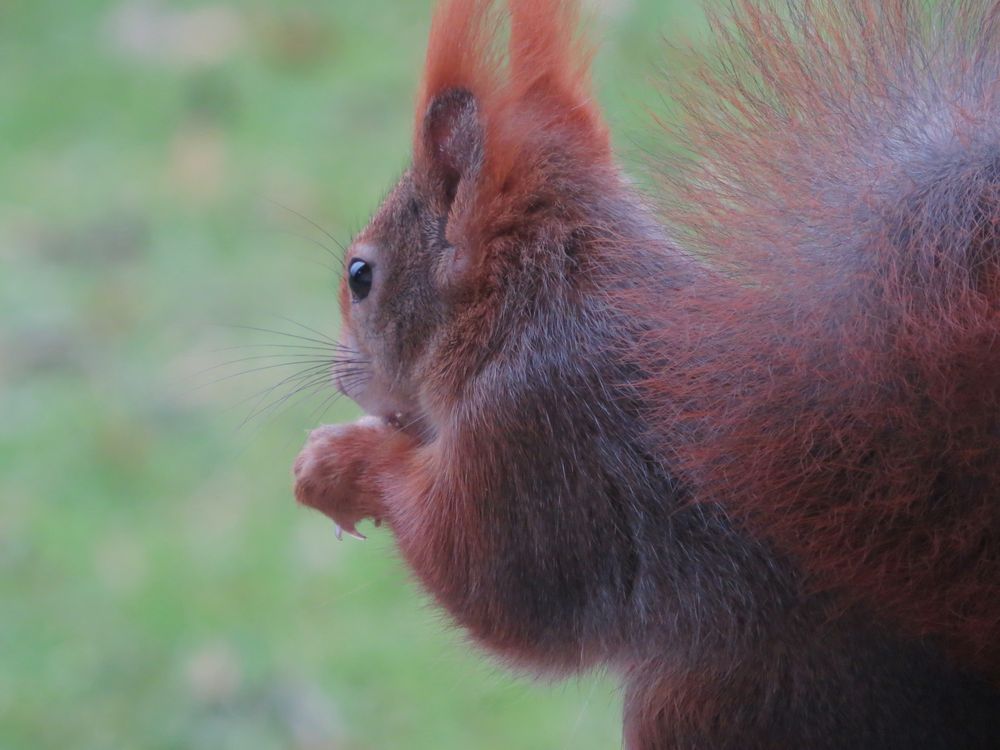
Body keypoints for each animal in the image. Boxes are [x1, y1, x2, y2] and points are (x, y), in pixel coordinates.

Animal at [292, 2, 1000, 748]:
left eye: (360, 276)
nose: (341, 379)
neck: (530, 305)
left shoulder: (533, 429)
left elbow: (489, 579)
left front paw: (341, 461)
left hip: (716, 703)